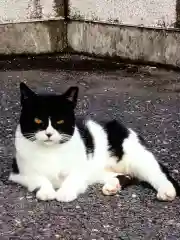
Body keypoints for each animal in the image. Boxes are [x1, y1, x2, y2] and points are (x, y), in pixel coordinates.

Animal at [8, 83, 177, 202]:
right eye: (37, 120)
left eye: (60, 121)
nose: (49, 134)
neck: (50, 151)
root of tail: (124, 127)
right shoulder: (19, 173)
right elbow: (39, 178)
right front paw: (47, 191)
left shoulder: (79, 169)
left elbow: (72, 179)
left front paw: (64, 193)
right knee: (128, 176)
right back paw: (112, 186)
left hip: (137, 158)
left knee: (159, 173)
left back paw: (166, 191)